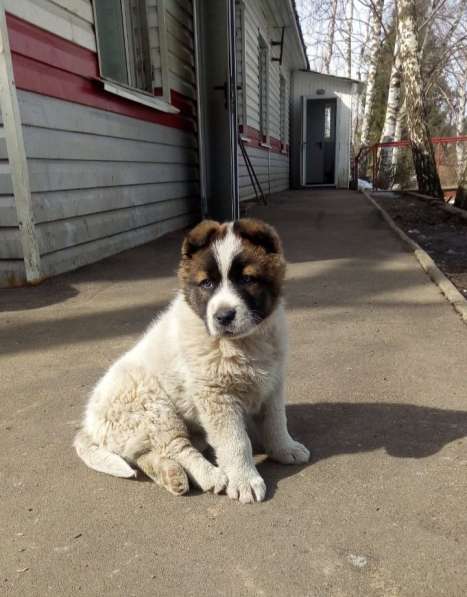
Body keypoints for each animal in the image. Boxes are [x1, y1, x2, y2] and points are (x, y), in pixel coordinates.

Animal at [75, 219, 310, 502]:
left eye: (247, 279)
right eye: (207, 284)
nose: (224, 316)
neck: (242, 344)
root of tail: (88, 424)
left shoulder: (272, 384)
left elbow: (276, 421)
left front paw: (285, 449)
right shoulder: (216, 396)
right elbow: (235, 441)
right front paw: (245, 480)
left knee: (147, 455)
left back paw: (171, 476)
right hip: (154, 407)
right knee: (177, 447)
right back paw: (210, 476)